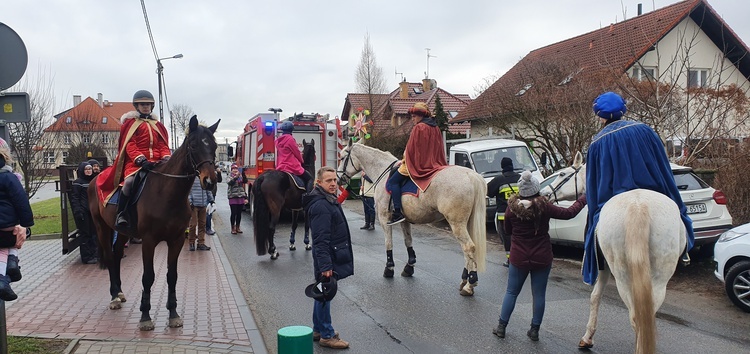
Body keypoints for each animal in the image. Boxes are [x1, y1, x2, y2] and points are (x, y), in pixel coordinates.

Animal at [89, 117, 220, 332]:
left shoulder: (176, 240)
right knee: (109, 256)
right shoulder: (149, 241)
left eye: (215, 146)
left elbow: (172, 275)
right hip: (102, 227)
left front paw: (173, 314)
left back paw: (120, 292)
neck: (166, 194)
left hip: (122, 231)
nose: (210, 181)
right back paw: (114, 296)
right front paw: (145, 316)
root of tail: (96, 179)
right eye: (193, 145)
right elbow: (148, 277)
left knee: (116, 255)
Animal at [340, 142, 490, 296]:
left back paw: (470, 284)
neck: (382, 170)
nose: (340, 179)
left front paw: (389, 269)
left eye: (342, 157)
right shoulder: (404, 220)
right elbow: (408, 241)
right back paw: (464, 280)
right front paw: (409, 266)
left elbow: (388, 243)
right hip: (466, 223)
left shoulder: (384, 218)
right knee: (467, 251)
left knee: (468, 247)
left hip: (457, 223)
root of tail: (470, 175)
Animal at [544, 152, 692, 354]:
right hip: (660, 278)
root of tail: (638, 206)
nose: (545, 193)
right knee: (647, 315)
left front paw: (587, 338)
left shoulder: (603, 267)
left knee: (636, 317)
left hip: (622, 276)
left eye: (562, 174)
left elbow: (595, 297)